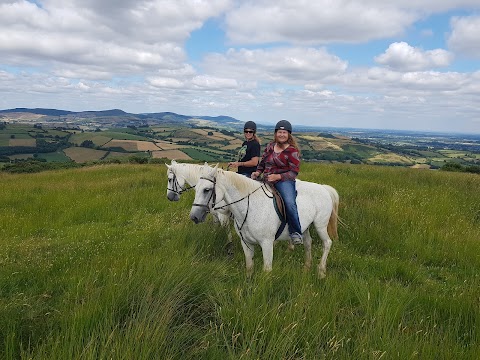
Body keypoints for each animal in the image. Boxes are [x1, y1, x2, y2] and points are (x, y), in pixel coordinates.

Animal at [189, 164, 340, 278]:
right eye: (196, 189)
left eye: (206, 190)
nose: (194, 216)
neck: (250, 207)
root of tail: (323, 187)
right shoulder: (246, 243)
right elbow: (249, 266)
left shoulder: (267, 244)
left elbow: (267, 270)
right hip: (305, 227)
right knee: (308, 243)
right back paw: (306, 268)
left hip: (320, 225)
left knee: (327, 243)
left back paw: (321, 271)